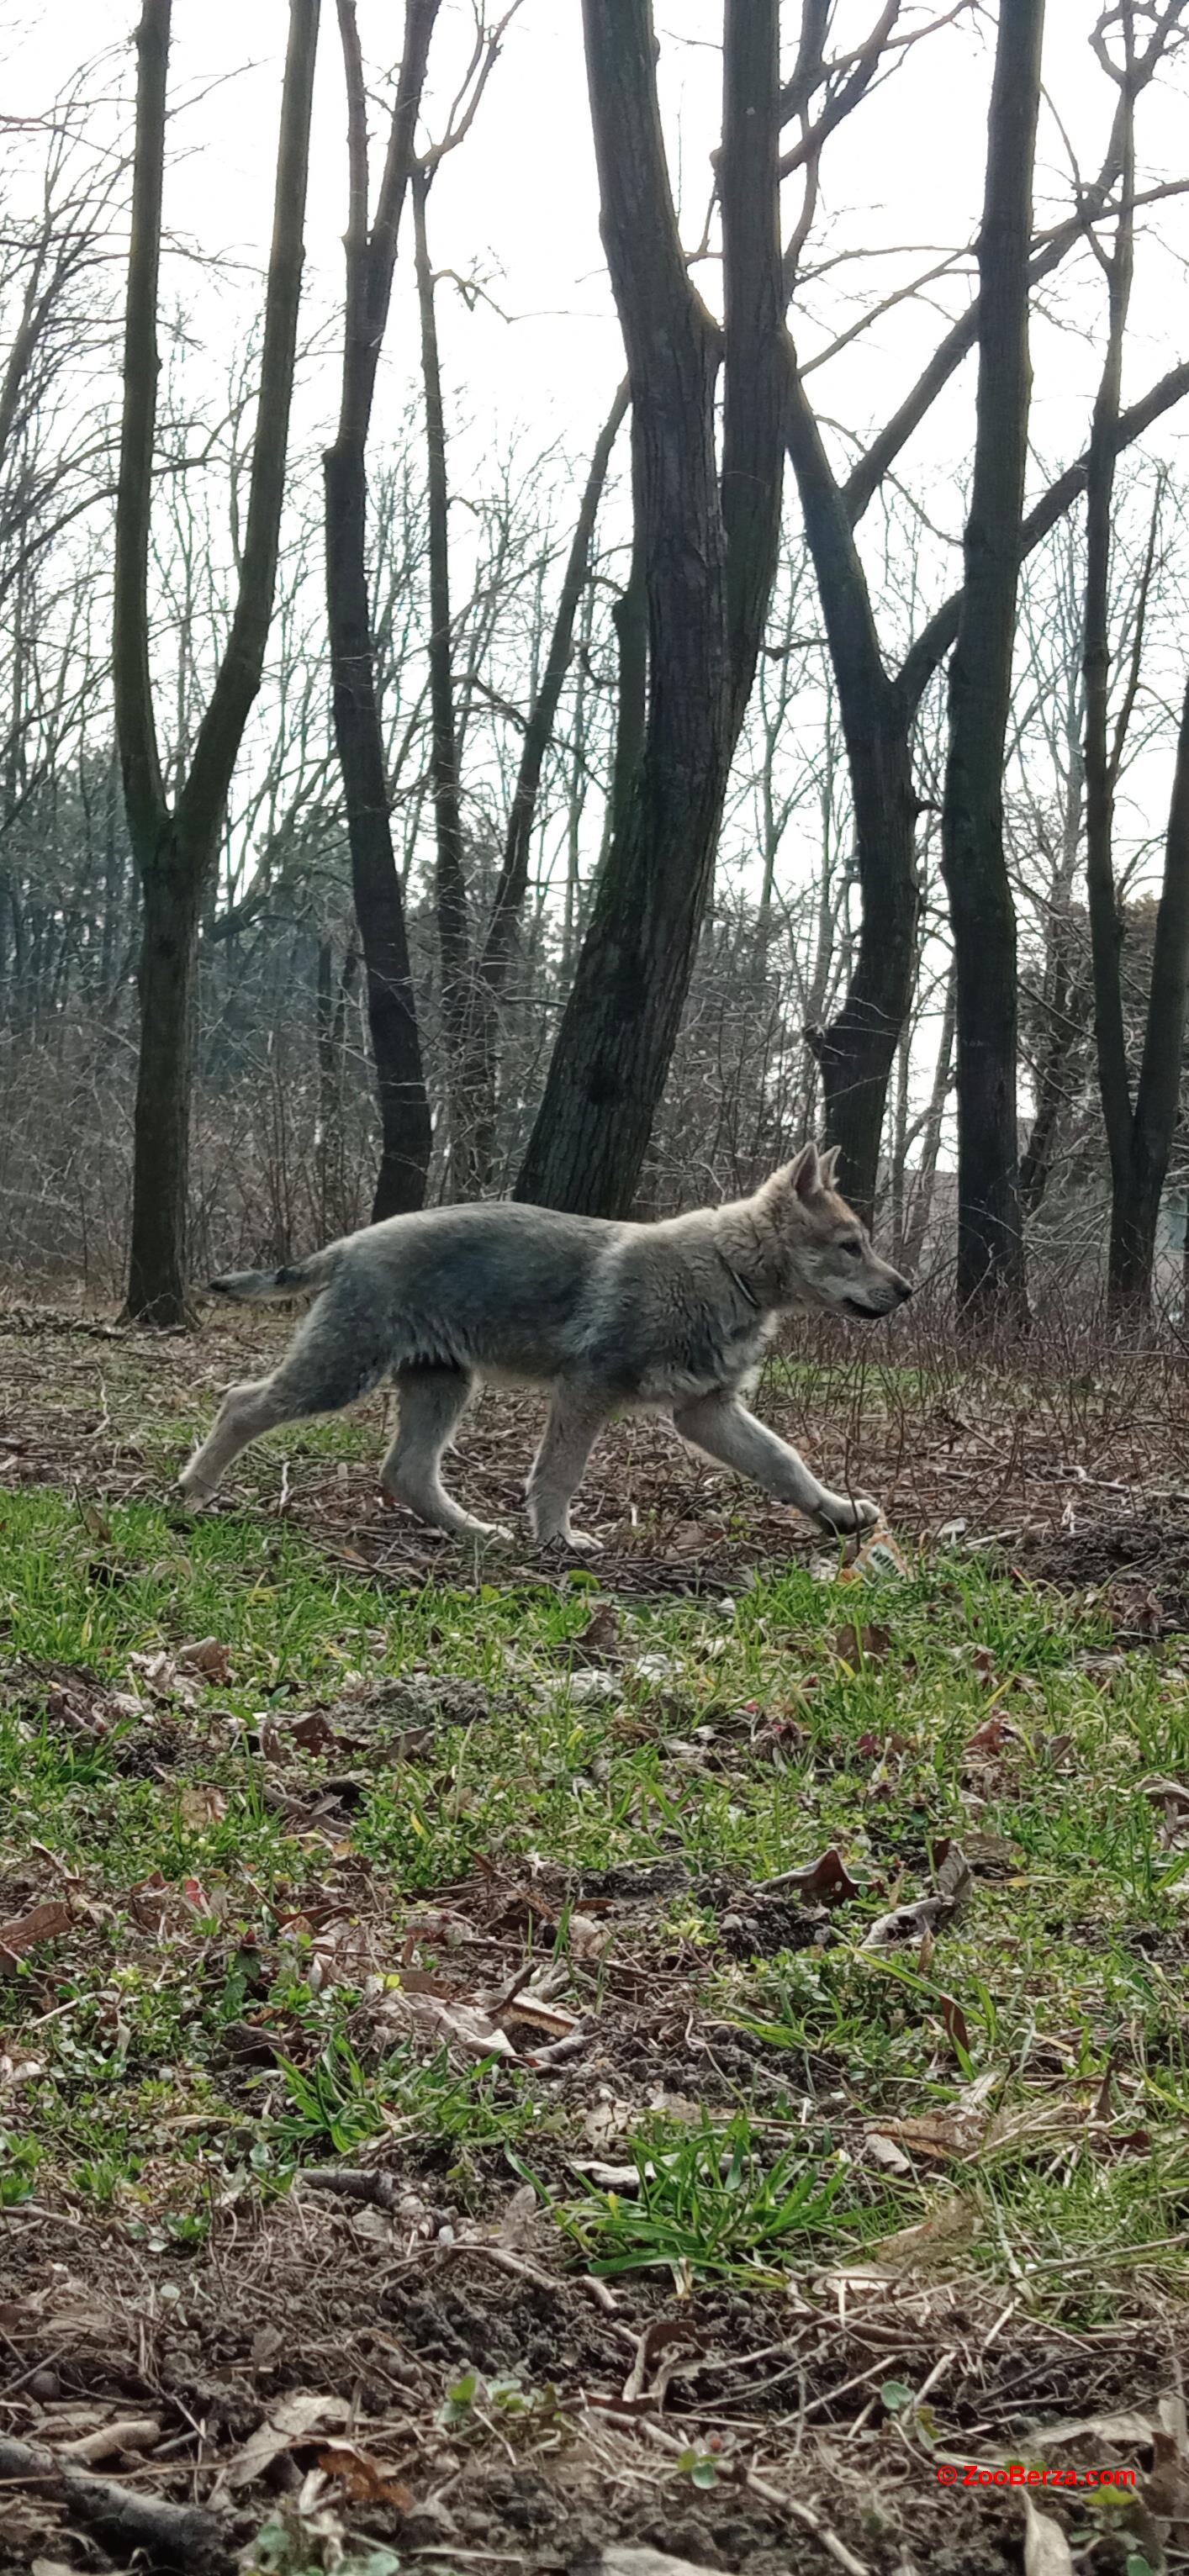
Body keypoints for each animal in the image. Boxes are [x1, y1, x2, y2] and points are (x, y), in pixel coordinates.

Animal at [177, 1148, 907, 1545]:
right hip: (341, 1370)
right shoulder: (588, 1389)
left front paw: (840, 1515)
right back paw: (193, 1491)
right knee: (241, 1402)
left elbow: (784, 1463)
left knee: (407, 1472)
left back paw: (473, 1531)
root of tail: (350, 1243)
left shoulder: (707, 1410)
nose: (906, 1290)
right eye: (851, 1246)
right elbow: (559, 1472)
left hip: (442, 1383)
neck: (729, 1270)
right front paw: (558, 1539)